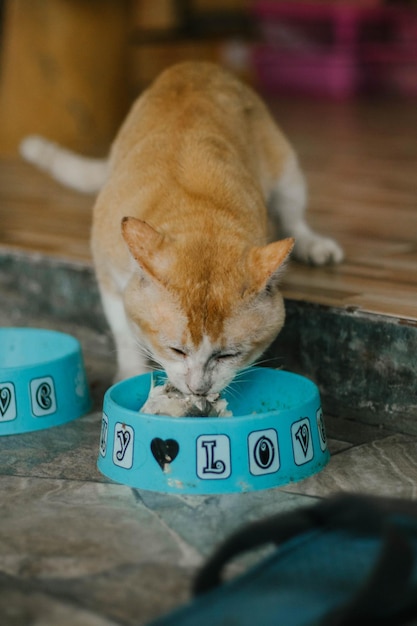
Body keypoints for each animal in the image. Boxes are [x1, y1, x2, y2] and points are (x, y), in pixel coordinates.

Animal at [20, 63, 342, 394]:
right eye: (175, 350)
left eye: (228, 355)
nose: (198, 389)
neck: (200, 217)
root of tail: (194, 65)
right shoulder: (108, 275)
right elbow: (124, 332)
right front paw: (130, 371)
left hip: (286, 169)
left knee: (293, 214)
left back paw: (313, 245)